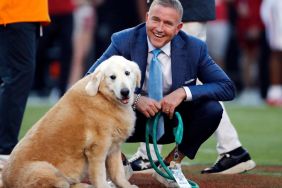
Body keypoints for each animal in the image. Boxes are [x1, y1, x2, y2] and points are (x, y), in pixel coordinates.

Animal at [0, 55, 141, 187]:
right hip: (44, 169)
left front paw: (126, 185)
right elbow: (100, 175)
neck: (104, 97)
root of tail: (5, 181)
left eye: (127, 73)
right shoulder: (97, 149)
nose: (125, 92)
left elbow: (118, 173)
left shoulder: (114, 147)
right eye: (112, 77)